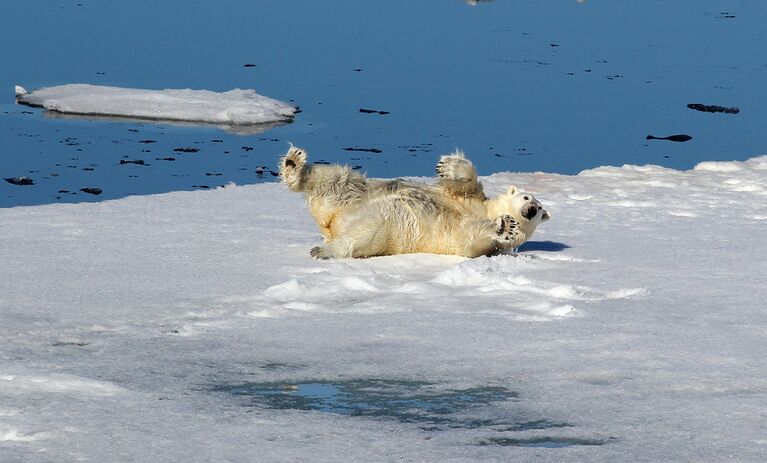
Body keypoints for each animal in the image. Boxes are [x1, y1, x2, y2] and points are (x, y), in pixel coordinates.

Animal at [280, 146, 548, 260]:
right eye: (527, 198)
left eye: (539, 210)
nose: (531, 209)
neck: (487, 211)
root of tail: (330, 224)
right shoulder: (470, 199)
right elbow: (466, 182)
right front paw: (448, 165)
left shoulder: (478, 243)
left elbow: (471, 238)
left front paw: (506, 226)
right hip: (354, 194)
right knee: (337, 179)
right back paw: (294, 164)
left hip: (389, 227)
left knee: (364, 234)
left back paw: (323, 250)